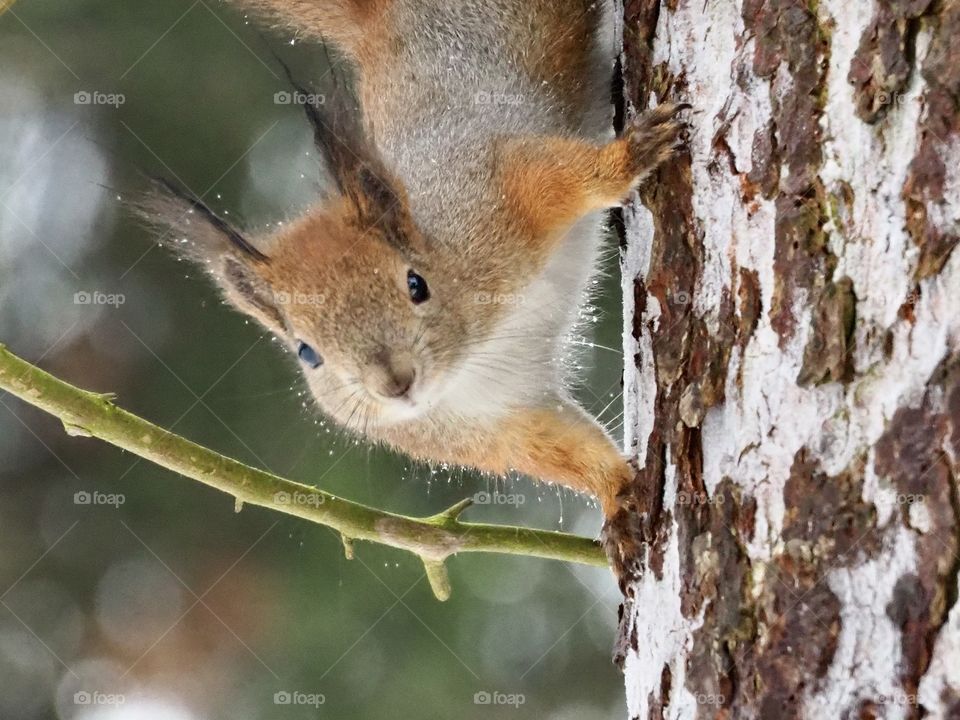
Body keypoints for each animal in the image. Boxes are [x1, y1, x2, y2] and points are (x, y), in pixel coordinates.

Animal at [141, 0, 685, 528]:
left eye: (416, 284)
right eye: (306, 353)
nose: (395, 384)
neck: (468, 362)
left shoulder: (492, 190)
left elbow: (559, 179)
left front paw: (628, 157)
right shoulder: (492, 422)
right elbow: (557, 448)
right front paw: (621, 495)